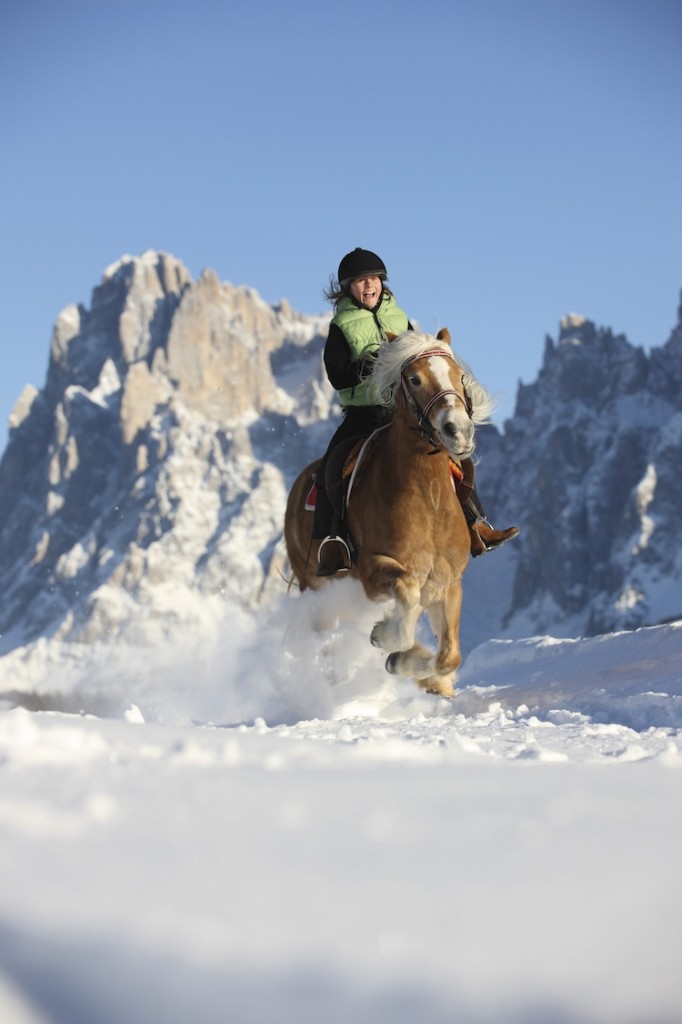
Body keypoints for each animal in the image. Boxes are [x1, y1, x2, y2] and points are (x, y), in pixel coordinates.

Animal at [280, 327, 489, 696]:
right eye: (415, 379)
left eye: (457, 375)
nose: (459, 431)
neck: (427, 500)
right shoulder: (373, 569)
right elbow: (406, 595)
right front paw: (388, 640)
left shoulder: (447, 582)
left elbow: (449, 655)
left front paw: (420, 670)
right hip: (315, 585)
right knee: (323, 635)